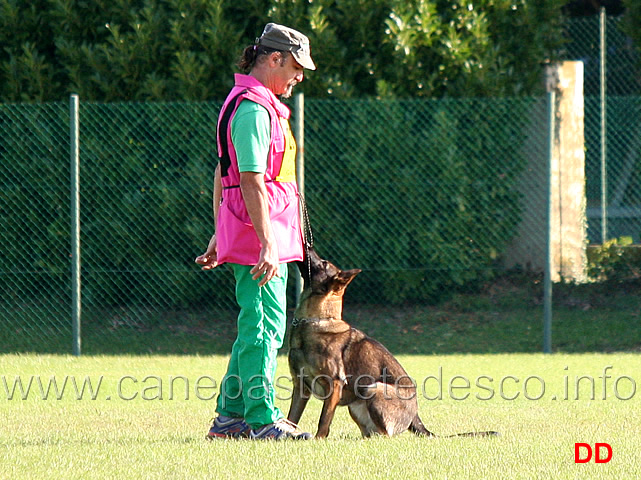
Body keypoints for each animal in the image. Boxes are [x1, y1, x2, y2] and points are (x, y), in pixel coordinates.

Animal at [286, 248, 500, 438]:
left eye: (323, 263)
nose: (307, 245)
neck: (315, 321)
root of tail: (415, 416)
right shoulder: (300, 388)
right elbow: (291, 418)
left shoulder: (335, 384)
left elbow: (324, 419)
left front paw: (318, 439)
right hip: (356, 406)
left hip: (375, 388)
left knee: (386, 435)